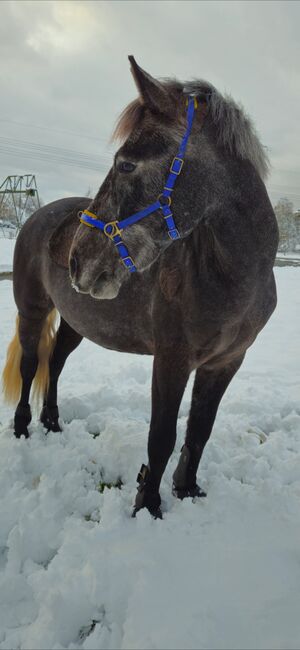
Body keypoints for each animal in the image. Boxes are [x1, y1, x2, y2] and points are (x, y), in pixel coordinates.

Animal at [1, 58, 278, 520]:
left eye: (127, 164)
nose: (78, 260)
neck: (233, 277)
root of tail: (37, 216)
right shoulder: (171, 360)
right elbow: (161, 437)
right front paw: (148, 505)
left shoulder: (226, 363)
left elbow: (199, 430)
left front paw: (187, 489)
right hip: (31, 309)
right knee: (29, 365)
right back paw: (23, 428)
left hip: (75, 322)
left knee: (54, 364)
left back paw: (52, 422)